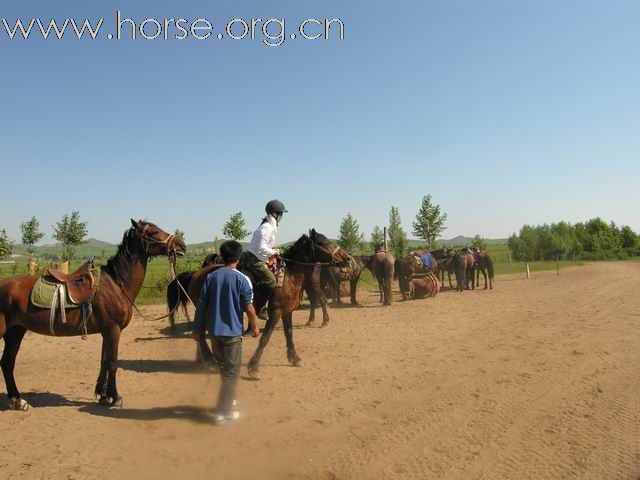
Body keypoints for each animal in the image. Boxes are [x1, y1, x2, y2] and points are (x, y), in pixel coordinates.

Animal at [0, 219, 186, 410]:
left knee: (7, 363)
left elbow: (104, 362)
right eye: (153, 232)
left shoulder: (106, 332)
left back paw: (18, 400)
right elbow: (113, 363)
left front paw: (103, 396)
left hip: (15, 332)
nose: (181, 244)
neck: (117, 284)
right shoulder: (113, 330)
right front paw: (115, 397)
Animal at [185, 229, 350, 378]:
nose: (347, 258)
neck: (289, 276)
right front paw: (253, 367)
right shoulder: (275, 312)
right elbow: (265, 338)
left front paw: (294, 358)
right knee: (201, 334)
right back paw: (210, 361)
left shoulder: (286, 311)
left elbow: (289, 333)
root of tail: (197, 274)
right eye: (325, 243)